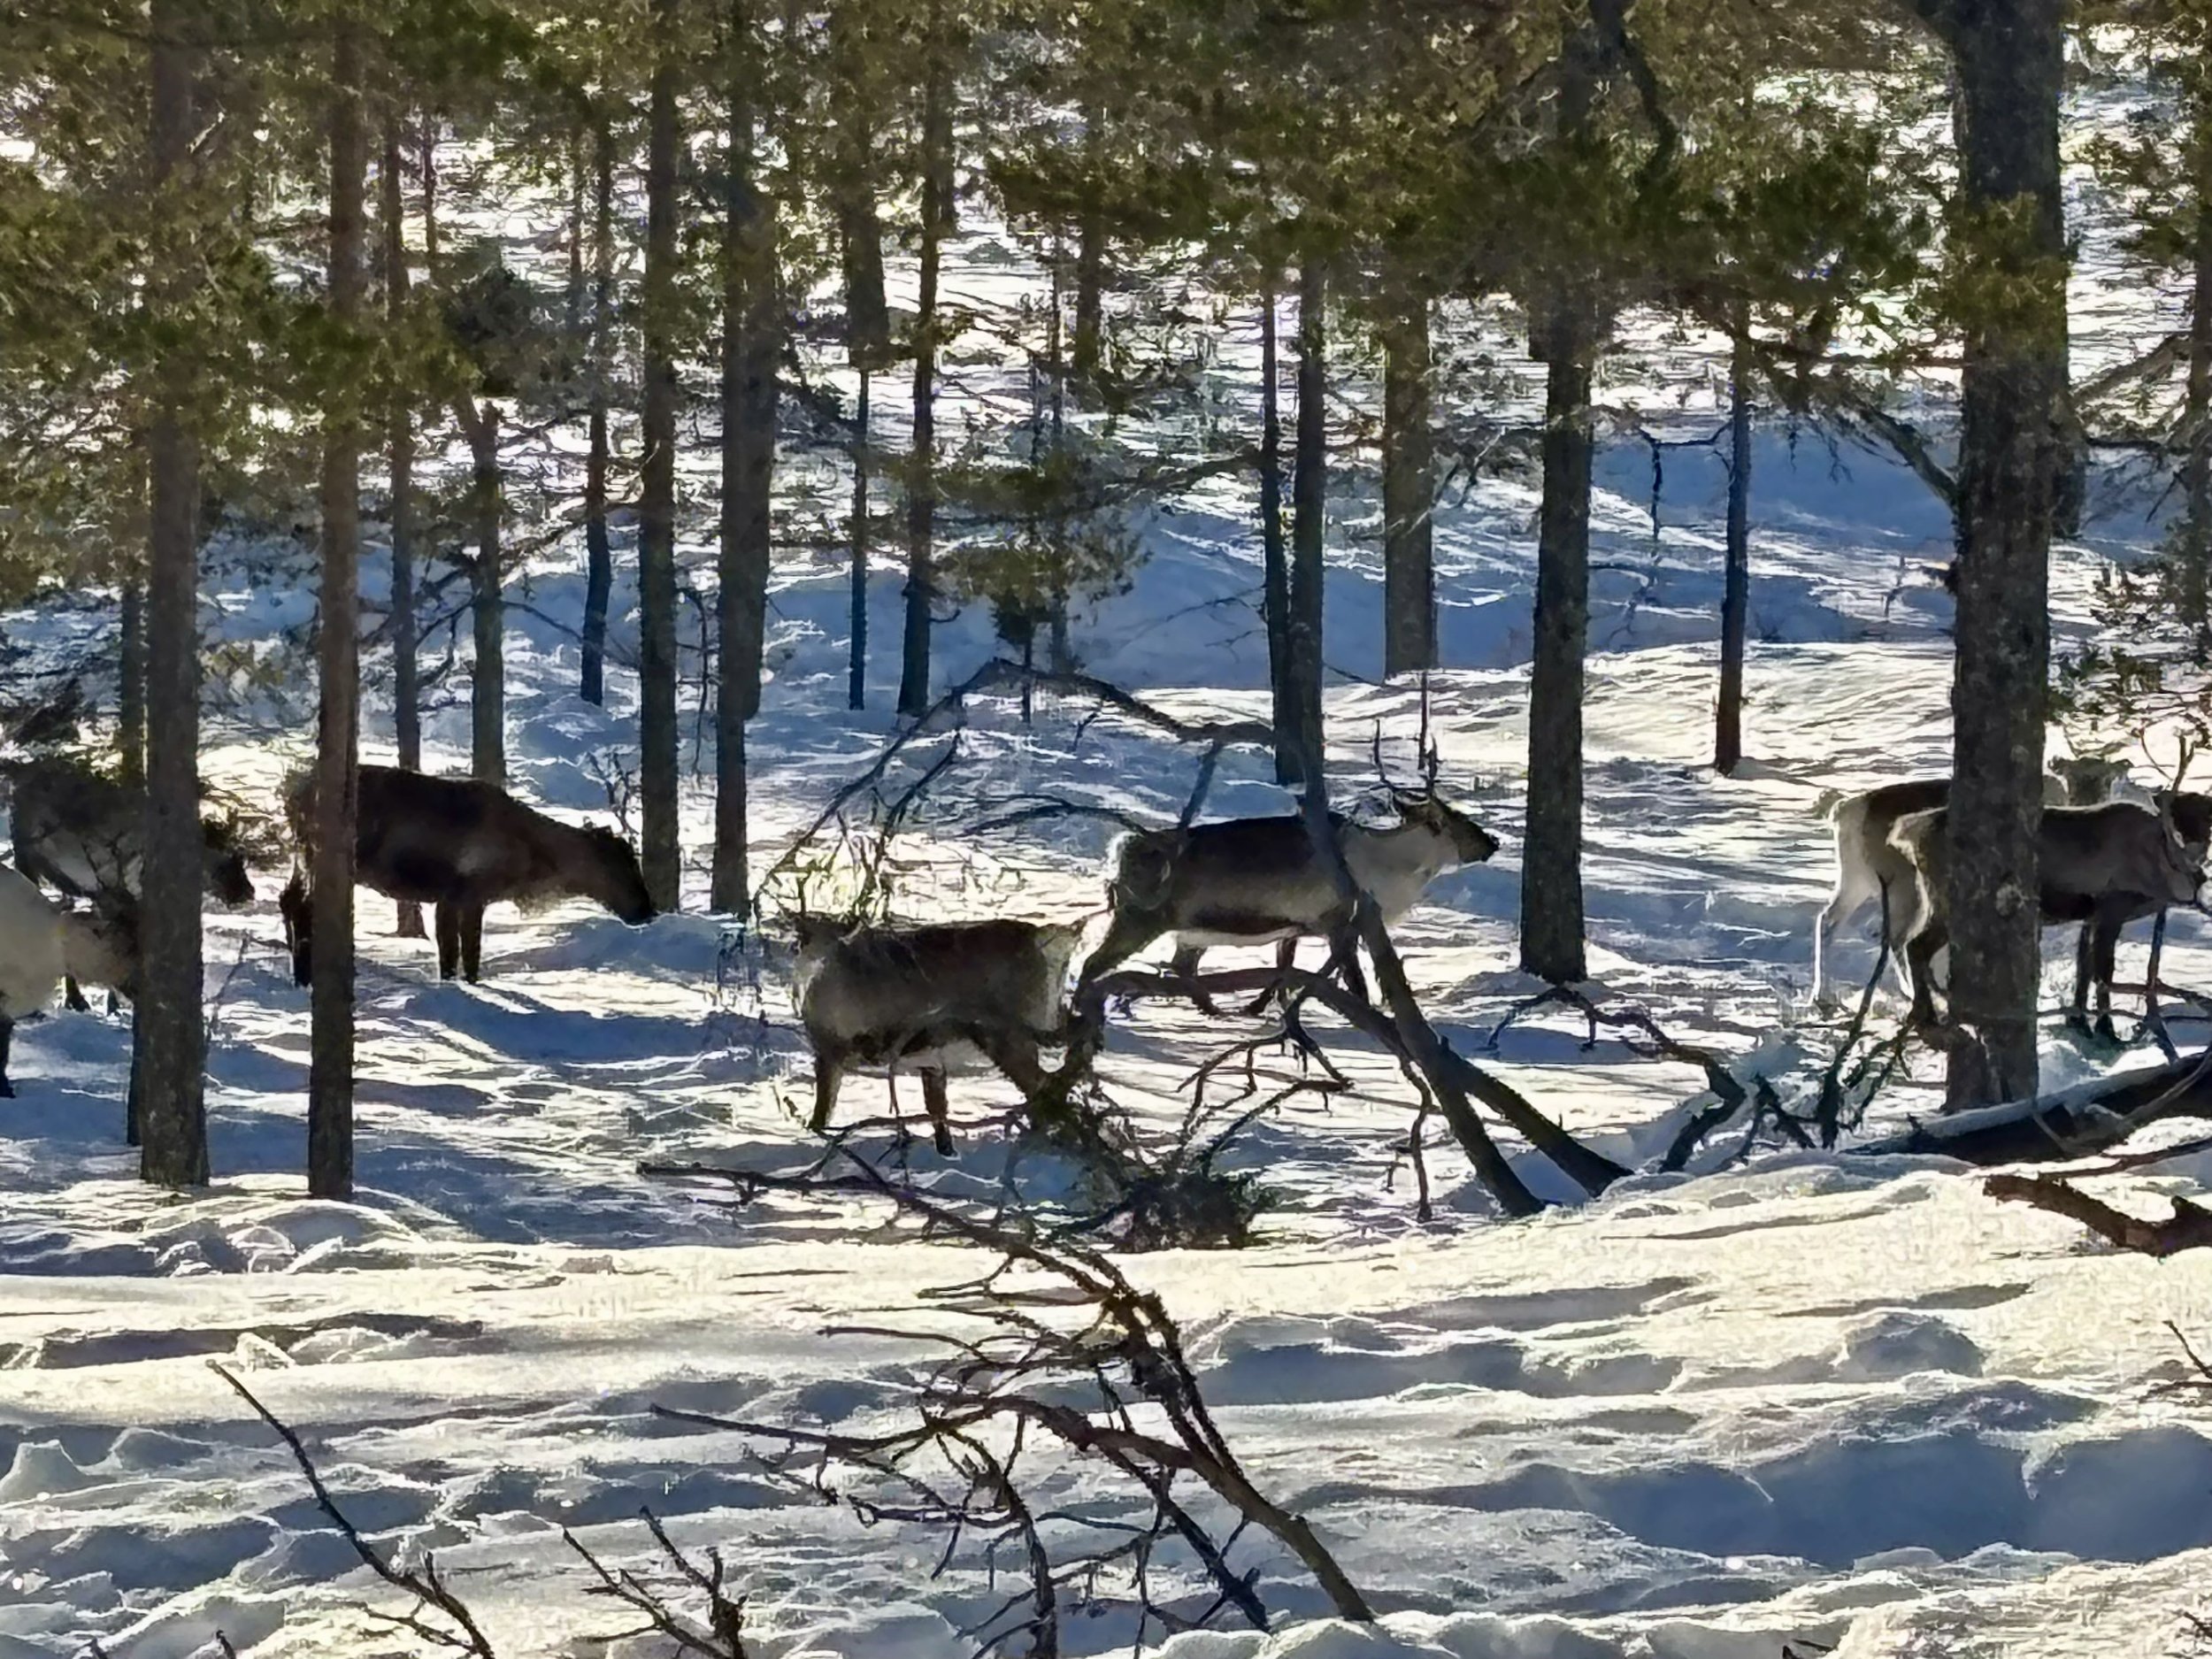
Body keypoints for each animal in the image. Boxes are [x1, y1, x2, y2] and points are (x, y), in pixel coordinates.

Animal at [281, 764, 656, 985]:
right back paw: (305, 976)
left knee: (288, 900)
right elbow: (462, 953)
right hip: (314, 858)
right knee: (302, 907)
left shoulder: (459, 899)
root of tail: (295, 795)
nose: (647, 910)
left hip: (302, 860)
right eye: (620, 866)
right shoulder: (463, 894)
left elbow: (460, 953)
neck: (533, 851)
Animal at [790, 914, 1085, 1154]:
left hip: (1008, 1038)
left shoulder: (829, 1050)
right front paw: (947, 1151)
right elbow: (938, 1111)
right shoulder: (929, 1059)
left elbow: (822, 1110)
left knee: (1044, 1085)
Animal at [1076, 787, 1500, 1015]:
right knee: (1093, 962)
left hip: (1190, 933)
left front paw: (1257, 1008)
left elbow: (1284, 971)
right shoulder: (1338, 922)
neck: (1385, 872)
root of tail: (1122, 849)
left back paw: (1213, 1010)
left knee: (1183, 968)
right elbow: (1354, 981)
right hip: (1140, 917)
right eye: (1455, 821)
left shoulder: (1294, 927)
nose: (1492, 842)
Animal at [1886, 795, 2212, 1038]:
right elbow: (2103, 973)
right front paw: (2106, 1030)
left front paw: (2079, 1023)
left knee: (1914, 945)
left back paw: (1923, 1013)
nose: (2198, 875)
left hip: (1934, 903)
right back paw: (1927, 1015)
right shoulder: (2110, 910)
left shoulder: (2091, 917)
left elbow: (2084, 970)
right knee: (1916, 945)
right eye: (2176, 826)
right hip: (1947, 905)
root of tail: (1911, 832)